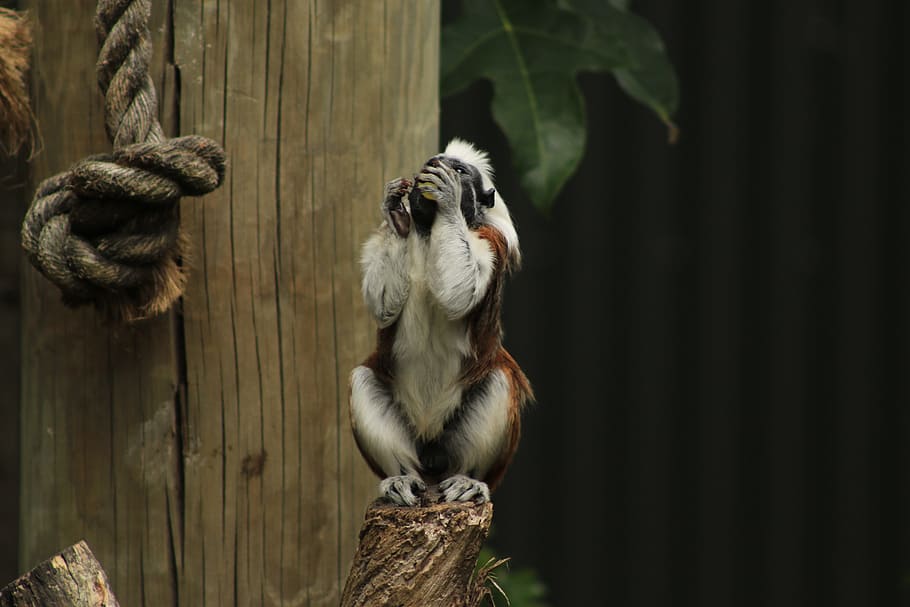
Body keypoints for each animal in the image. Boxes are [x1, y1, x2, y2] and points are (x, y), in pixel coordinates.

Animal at [349, 139, 533, 506]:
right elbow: (383, 305)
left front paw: (446, 197)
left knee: (500, 381)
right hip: (415, 445)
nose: (435, 166)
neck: (428, 232)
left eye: (459, 170)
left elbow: (460, 292)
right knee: (363, 380)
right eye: (429, 161)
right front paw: (396, 212)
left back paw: (468, 480)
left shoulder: (491, 240)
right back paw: (401, 479)